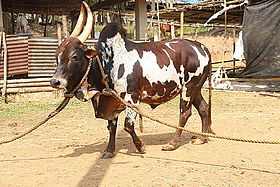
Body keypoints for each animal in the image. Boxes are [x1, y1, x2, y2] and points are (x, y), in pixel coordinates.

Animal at [49, 1, 214, 159]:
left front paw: (141, 147)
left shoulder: (132, 98)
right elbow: (112, 127)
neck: (107, 62)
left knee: (185, 113)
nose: (55, 81)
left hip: (189, 87)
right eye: (57, 56)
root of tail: (201, 46)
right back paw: (202, 138)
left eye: (74, 57)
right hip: (195, 88)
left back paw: (172, 143)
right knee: (204, 108)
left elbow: (127, 126)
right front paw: (109, 150)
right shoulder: (112, 100)